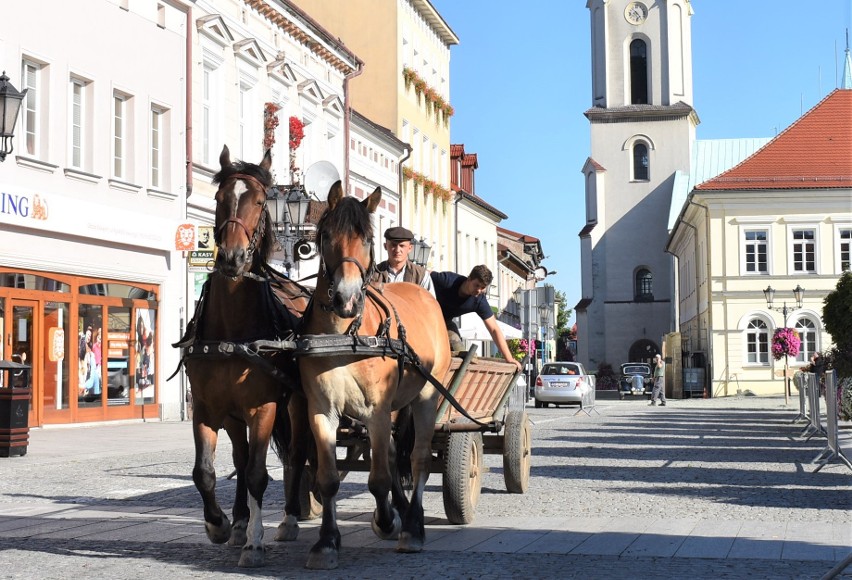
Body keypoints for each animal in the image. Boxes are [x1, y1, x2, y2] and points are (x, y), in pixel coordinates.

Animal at [180, 144, 310, 568]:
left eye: (258, 201)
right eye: (221, 199)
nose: (232, 259)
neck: (232, 331)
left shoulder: (264, 408)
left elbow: (257, 474)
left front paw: (255, 542)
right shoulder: (206, 407)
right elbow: (204, 472)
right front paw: (219, 524)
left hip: (298, 405)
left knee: (296, 456)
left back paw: (288, 519)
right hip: (233, 414)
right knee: (239, 457)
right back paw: (238, 522)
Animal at [292, 184, 452, 568]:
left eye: (366, 238)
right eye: (326, 235)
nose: (346, 298)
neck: (344, 333)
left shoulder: (376, 411)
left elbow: (379, 478)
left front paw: (386, 520)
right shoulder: (321, 411)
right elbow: (327, 479)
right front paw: (326, 541)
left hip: (427, 397)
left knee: (418, 459)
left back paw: (412, 526)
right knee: (394, 454)